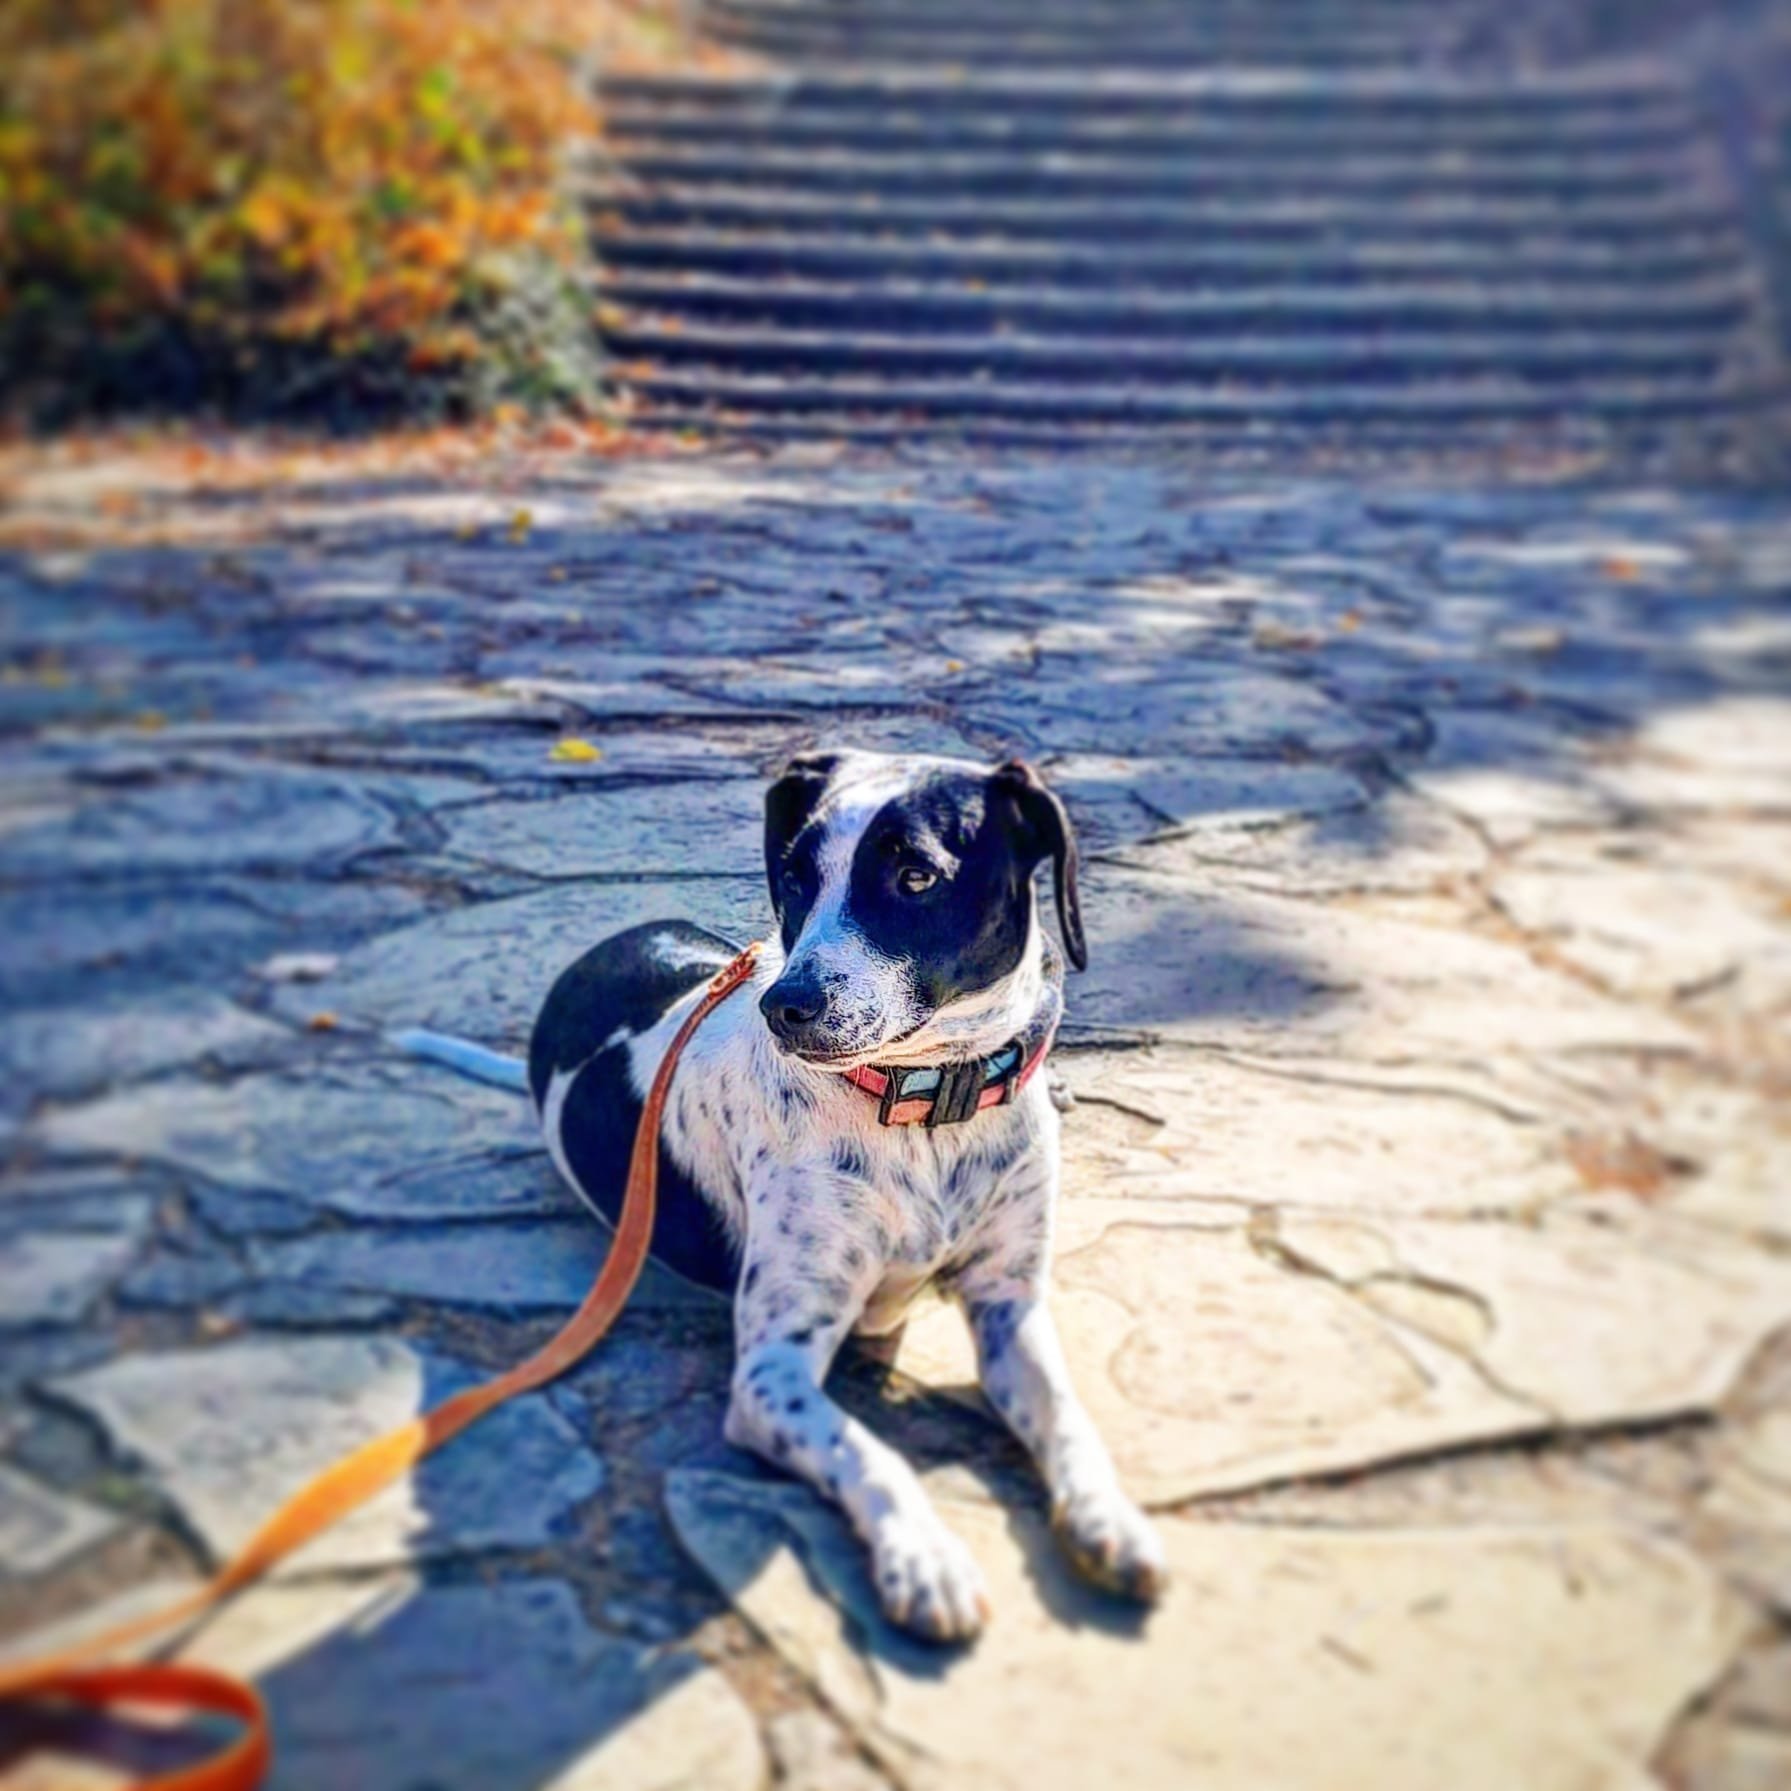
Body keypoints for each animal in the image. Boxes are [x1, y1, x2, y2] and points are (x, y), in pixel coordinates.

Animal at [411, 750, 1165, 1640]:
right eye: (795, 874)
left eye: (915, 876)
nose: (784, 1006)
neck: (926, 1104)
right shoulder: (773, 1367)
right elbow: (864, 1450)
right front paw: (927, 1557)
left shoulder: (1007, 1304)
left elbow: (1067, 1418)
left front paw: (1109, 1517)